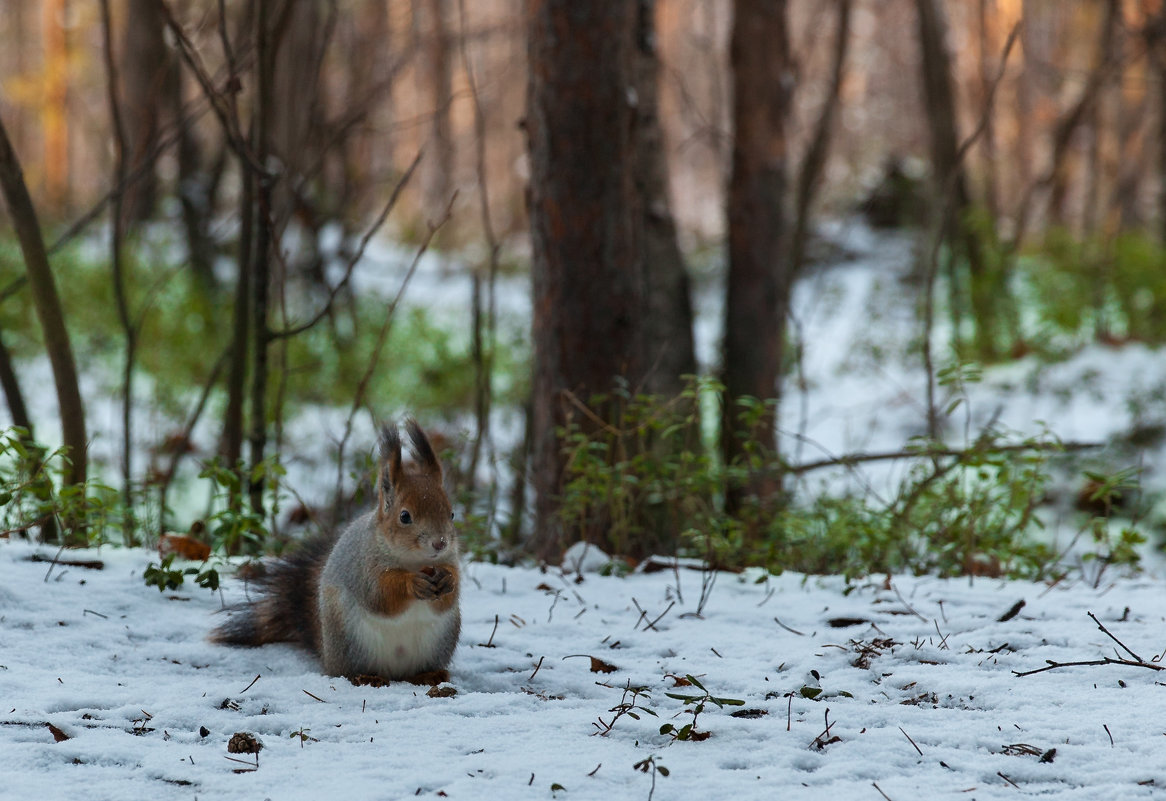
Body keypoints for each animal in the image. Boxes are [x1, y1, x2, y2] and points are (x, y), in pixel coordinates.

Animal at [212, 419, 457, 680]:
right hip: (349, 641)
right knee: (349, 670)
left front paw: (448, 579)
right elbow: (379, 594)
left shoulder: (450, 559)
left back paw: (430, 675)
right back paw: (366, 678)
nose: (440, 543)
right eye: (404, 516)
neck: (414, 561)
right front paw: (412, 583)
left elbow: (449, 597)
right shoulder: (363, 567)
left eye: (451, 514)